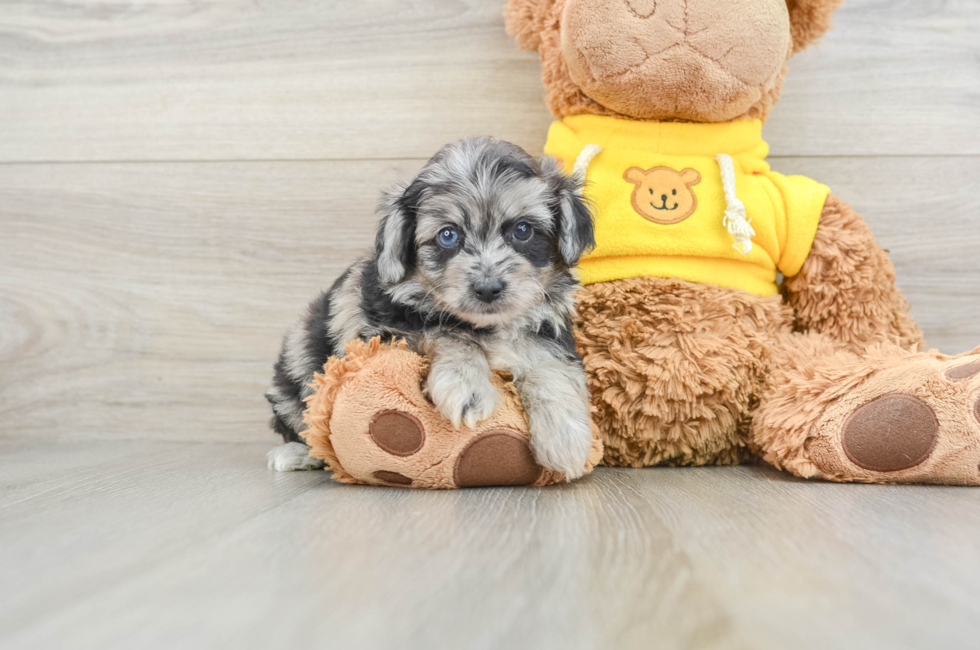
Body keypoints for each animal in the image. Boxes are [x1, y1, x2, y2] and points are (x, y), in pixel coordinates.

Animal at [262, 137, 596, 478]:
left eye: (523, 230)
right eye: (448, 235)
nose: (488, 288)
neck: (486, 326)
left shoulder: (548, 332)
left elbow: (547, 365)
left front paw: (565, 436)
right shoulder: (383, 333)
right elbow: (447, 332)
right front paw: (466, 385)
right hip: (297, 364)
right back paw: (296, 454)